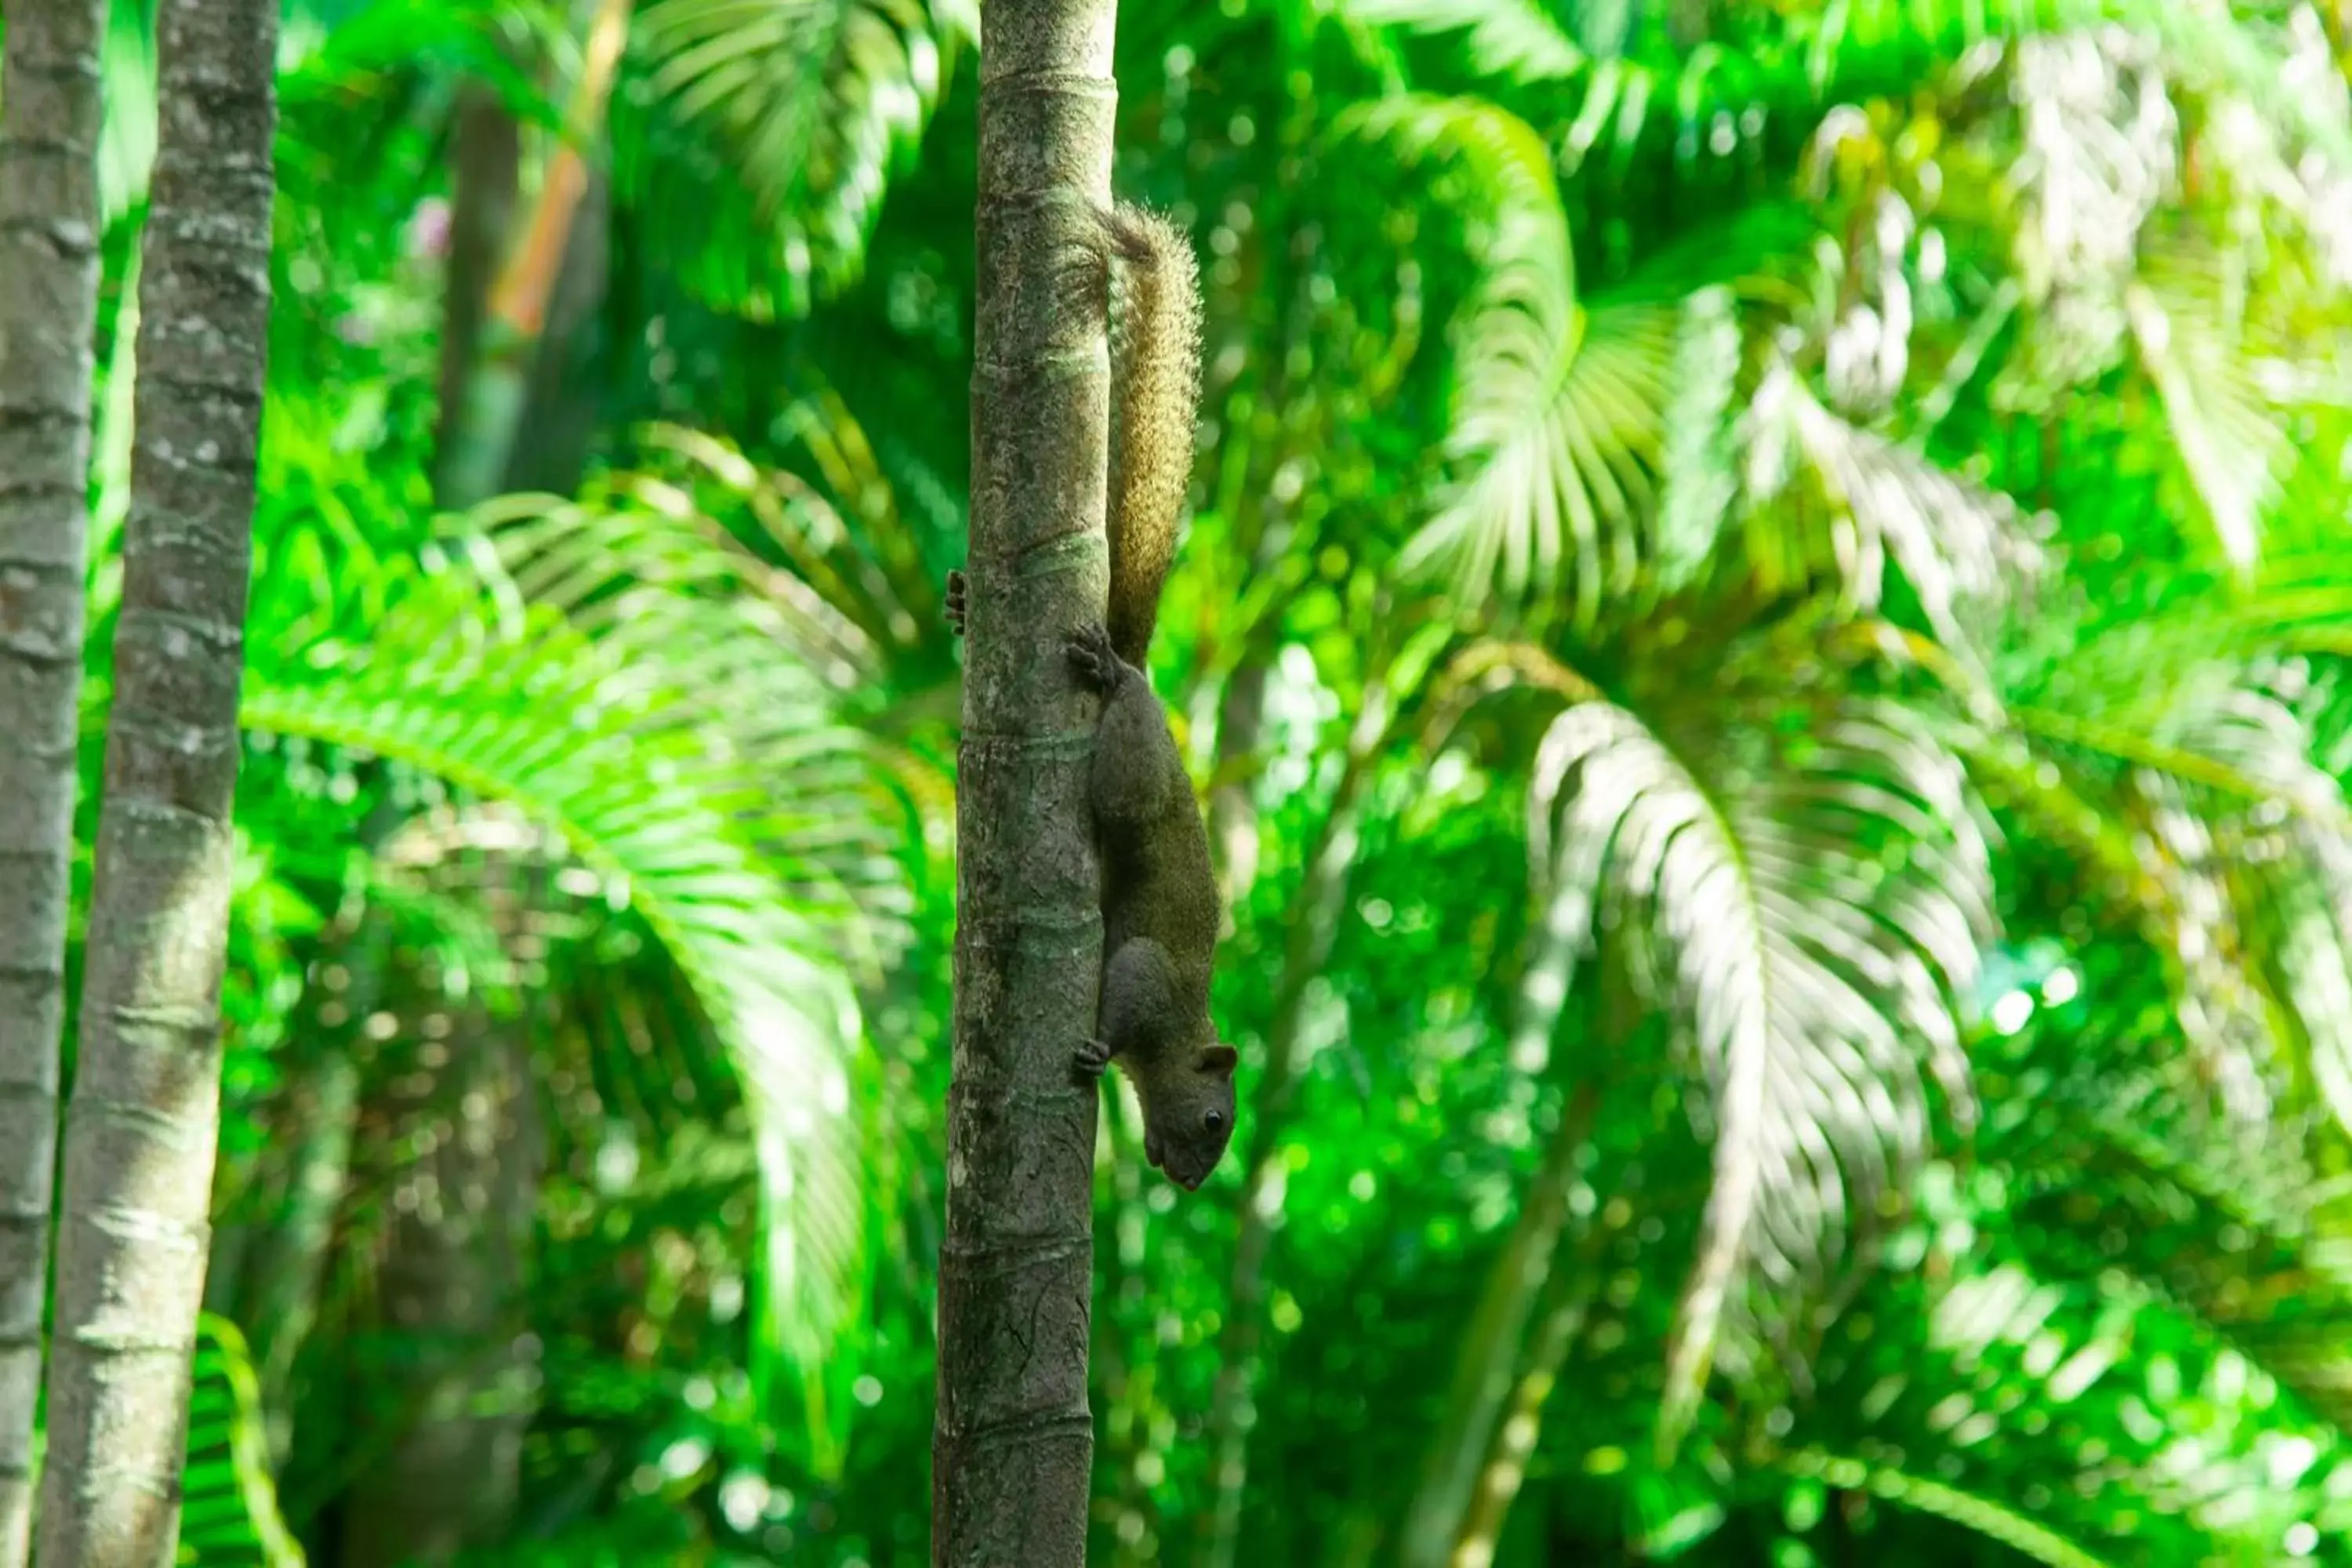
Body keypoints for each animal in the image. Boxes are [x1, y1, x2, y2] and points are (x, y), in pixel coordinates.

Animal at [936, 205, 1242, 1189]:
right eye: (1216, 1117)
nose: (1186, 1179)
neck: (1182, 1034)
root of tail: (1143, 672)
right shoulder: (1148, 977)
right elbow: (1123, 993)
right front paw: (1097, 1054)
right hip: (1136, 767)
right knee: (1117, 781)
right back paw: (1097, 671)